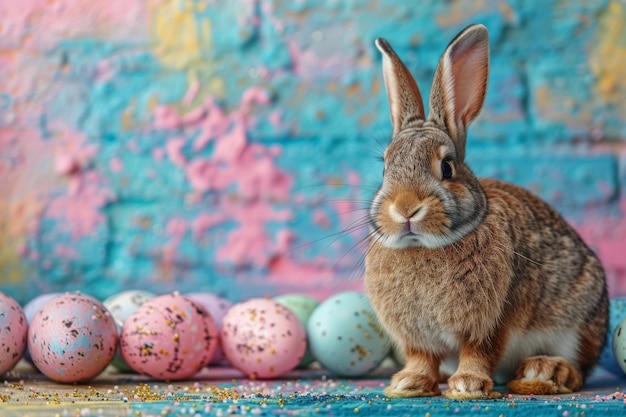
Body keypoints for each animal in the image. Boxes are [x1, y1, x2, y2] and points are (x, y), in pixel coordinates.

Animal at [364, 23, 608, 400]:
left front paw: (468, 385)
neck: (423, 247)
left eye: (447, 167)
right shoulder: (417, 337)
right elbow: (422, 358)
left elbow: (480, 352)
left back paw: (547, 370)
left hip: (579, 320)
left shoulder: (492, 321)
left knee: (580, 368)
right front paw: (408, 383)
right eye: (385, 167)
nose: (405, 208)